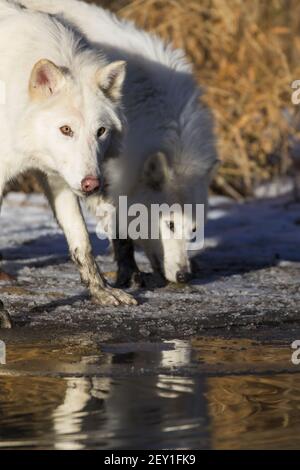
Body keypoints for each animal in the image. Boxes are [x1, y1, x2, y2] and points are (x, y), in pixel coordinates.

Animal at [0, 0, 135, 326]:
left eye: (100, 131)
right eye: (66, 130)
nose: (92, 184)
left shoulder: (58, 178)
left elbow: (81, 241)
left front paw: (102, 293)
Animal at [20, 0, 218, 286]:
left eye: (193, 230)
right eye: (170, 224)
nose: (183, 276)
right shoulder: (102, 177)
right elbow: (119, 231)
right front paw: (130, 273)